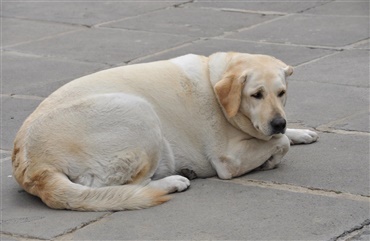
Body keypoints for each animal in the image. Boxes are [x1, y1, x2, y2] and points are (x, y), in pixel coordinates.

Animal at [11, 51, 318, 210]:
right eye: (256, 95)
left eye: (281, 93)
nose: (279, 121)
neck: (214, 80)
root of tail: (30, 164)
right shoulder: (229, 159)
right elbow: (278, 143)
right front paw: (272, 158)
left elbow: (279, 137)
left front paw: (301, 132)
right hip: (140, 113)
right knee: (120, 186)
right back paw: (174, 181)